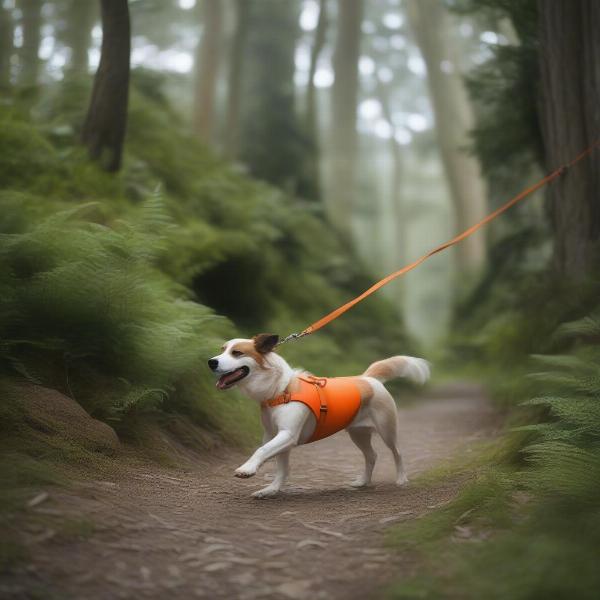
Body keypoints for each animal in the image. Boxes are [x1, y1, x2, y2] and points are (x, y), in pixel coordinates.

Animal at [209, 332, 428, 496]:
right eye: (222, 350)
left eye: (237, 353)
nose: (211, 362)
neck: (281, 389)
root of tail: (367, 378)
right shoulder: (275, 436)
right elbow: (281, 468)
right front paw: (271, 490)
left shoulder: (287, 435)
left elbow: (261, 451)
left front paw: (247, 469)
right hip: (358, 433)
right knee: (371, 455)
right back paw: (363, 482)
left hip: (387, 430)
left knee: (397, 453)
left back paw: (401, 479)